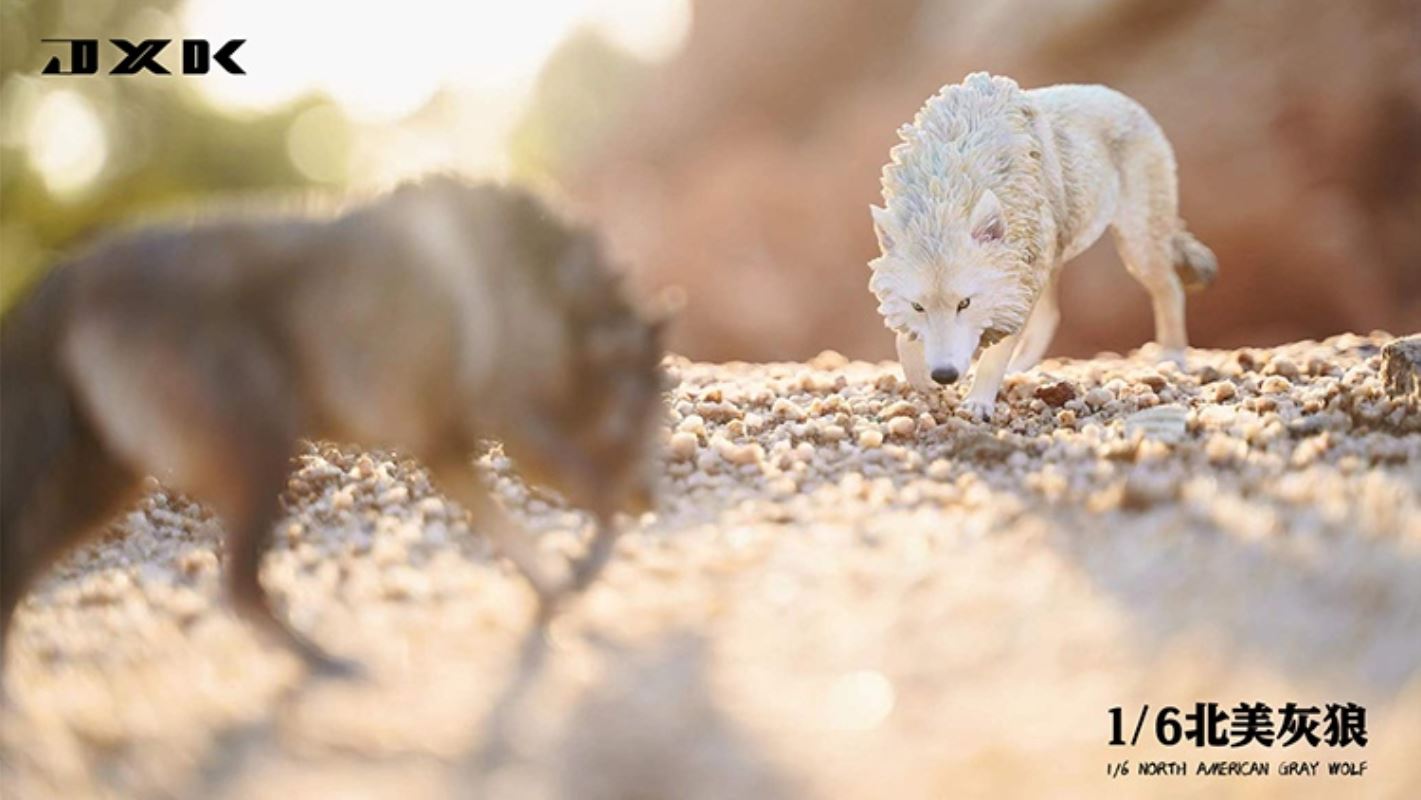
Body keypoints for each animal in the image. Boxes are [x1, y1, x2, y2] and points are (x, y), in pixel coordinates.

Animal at [0, 177, 666, 673]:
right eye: (634, 414)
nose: (651, 500)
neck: (554, 295)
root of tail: (68, 278)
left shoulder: (446, 450)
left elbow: (521, 543)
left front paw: (561, 597)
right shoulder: (519, 428)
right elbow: (598, 506)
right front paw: (588, 570)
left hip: (105, 492)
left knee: (19, 572)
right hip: (260, 457)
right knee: (239, 589)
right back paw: (326, 665)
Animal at [869, 73, 1217, 418]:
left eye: (965, 303)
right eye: (918, 306)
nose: (944, 375)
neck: (952, 182)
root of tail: (1127, 102)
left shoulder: (1014, 286)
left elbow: (995, 354)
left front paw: (978, 402)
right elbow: (904, 340)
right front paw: (921, 380)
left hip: (1136, 246)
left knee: (1170, 289)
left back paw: (1172, 356)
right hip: (1051, 262)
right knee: (1051, 316)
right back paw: (1019, 370)